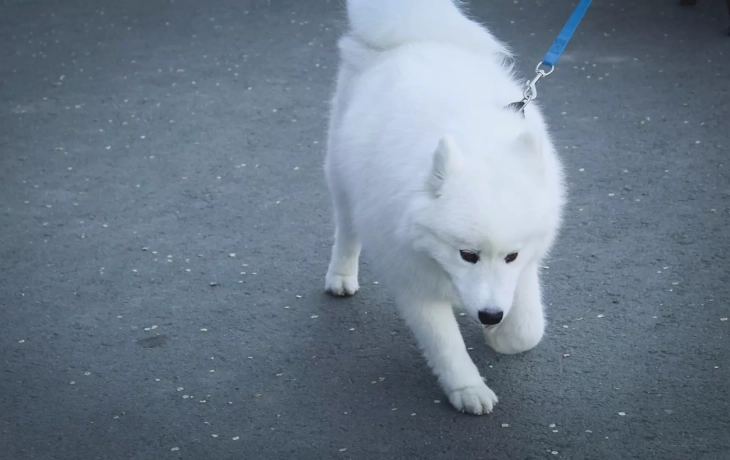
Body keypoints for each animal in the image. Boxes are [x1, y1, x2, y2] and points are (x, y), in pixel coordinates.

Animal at [322, 0, 564, 416]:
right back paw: (340, 275)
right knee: (347, 227)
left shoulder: (524, 265)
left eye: (511, 256)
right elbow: (445, 344)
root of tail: (416, 35)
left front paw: (500, 335)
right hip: (341, 172)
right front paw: (468, 389)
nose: (490, 315)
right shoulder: (412, 277)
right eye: (467, 254)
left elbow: (528, 329)